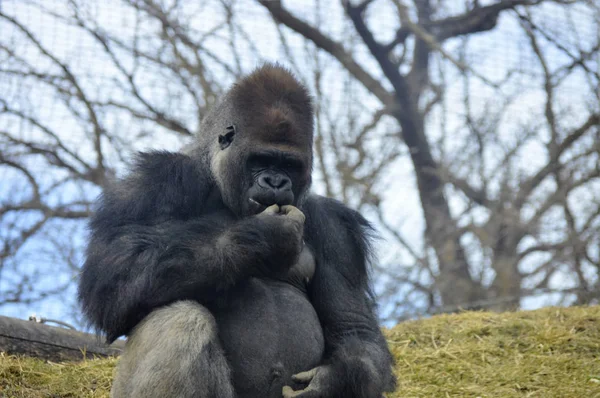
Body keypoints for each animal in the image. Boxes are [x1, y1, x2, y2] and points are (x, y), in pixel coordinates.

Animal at [81, 64, 398, 398]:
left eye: (290, 165)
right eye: (261, 160)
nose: (276, 182)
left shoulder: (336, 230)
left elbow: (355, 329)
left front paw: (331, 382)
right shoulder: (154, 182)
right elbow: (113, 278)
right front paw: (267, 237)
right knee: (181, 319)